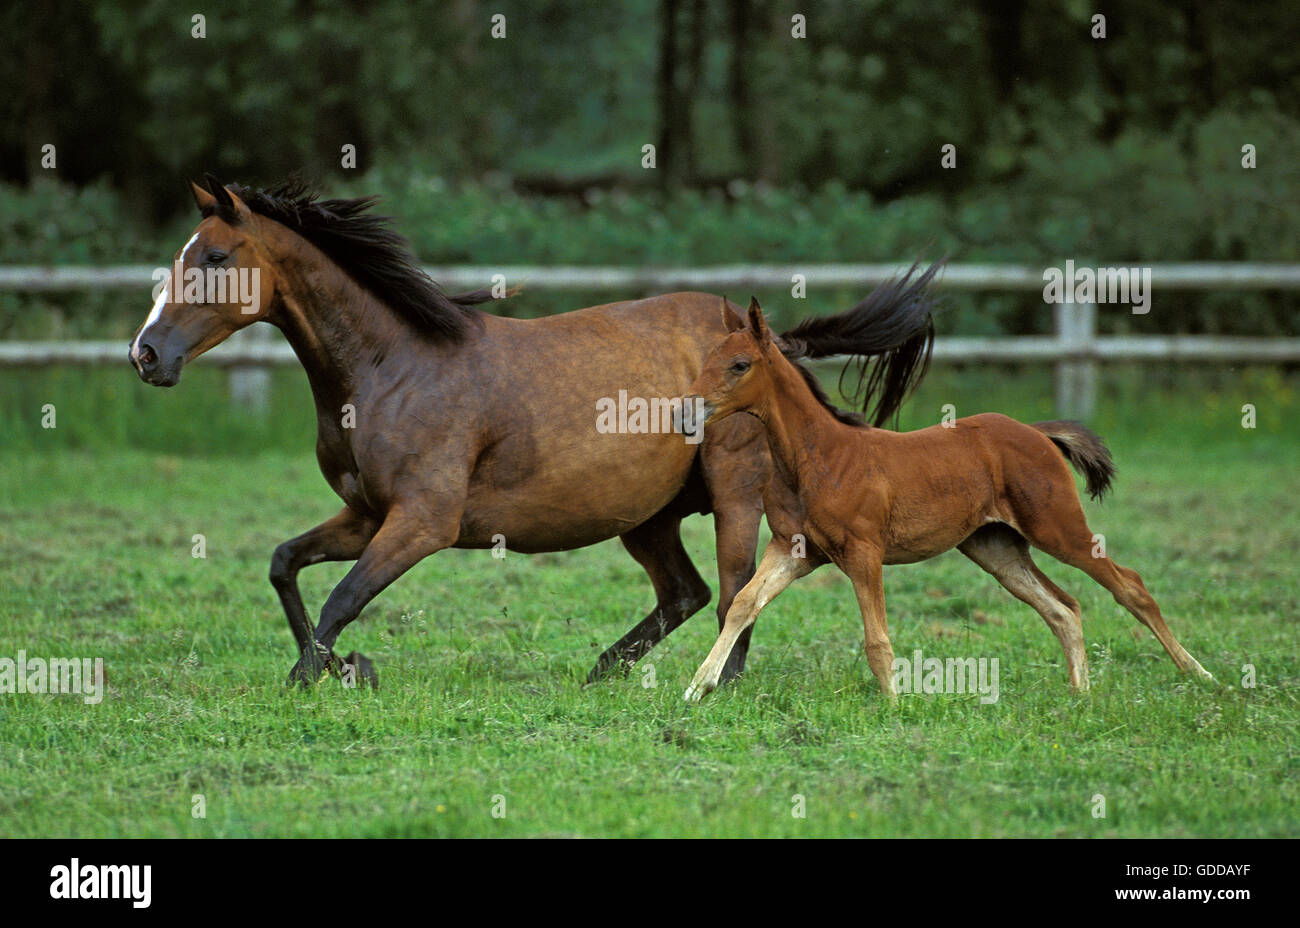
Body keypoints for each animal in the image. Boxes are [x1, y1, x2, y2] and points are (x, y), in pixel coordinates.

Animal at [686, 300, 1211, 696]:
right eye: (707, 359)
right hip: (996, 547)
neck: (817, 457)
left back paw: (1201, 675)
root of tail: (1037, 432)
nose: (688, 409)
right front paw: (698, 687)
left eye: (740, 364)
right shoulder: (793, 550)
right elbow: (743, 603)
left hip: (1058, 528)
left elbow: (876, 639)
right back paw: (1080, 693)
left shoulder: (863, 552)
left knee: (1131, 587)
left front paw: (894, 705)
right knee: (1062, 608)